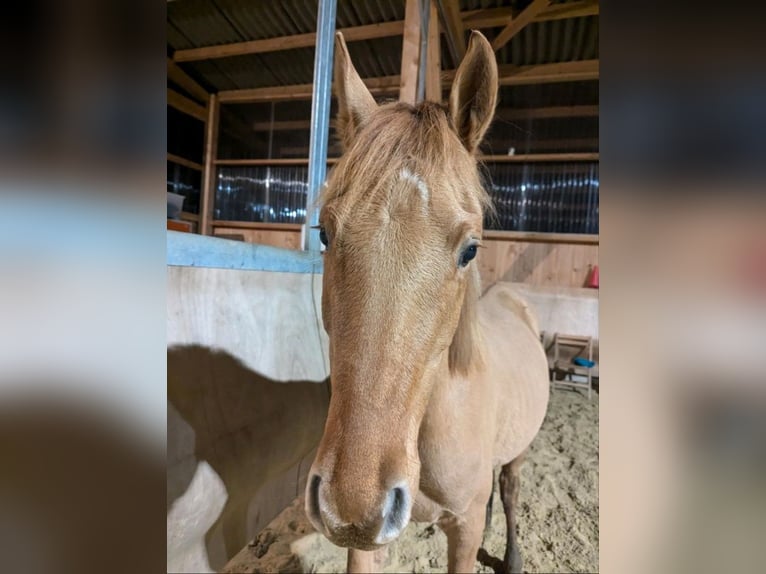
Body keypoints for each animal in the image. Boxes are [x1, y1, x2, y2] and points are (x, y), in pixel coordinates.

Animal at [306, 31, 552, 574]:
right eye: (325, 233)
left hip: (520, 453)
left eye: (470, 249)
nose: (352, 503)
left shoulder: (464, 529)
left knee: (510, 489)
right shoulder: (365, 544)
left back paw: (513, 556)